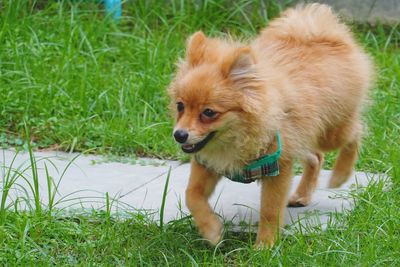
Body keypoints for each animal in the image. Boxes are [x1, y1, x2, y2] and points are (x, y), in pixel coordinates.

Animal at [167, 3, 374, 248]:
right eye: (180, 106)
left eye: (208, 113)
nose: (179, 134)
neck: (234, 140)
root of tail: (320, 32)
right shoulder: (207, 164)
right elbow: (192, 195)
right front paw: (211, 230)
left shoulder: (277, 166)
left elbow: (270, 210)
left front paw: (265, 246)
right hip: (300, 136)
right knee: (316, 156)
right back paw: (302, 196)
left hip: (331, 132)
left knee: (356, 132)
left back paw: (340, 175)